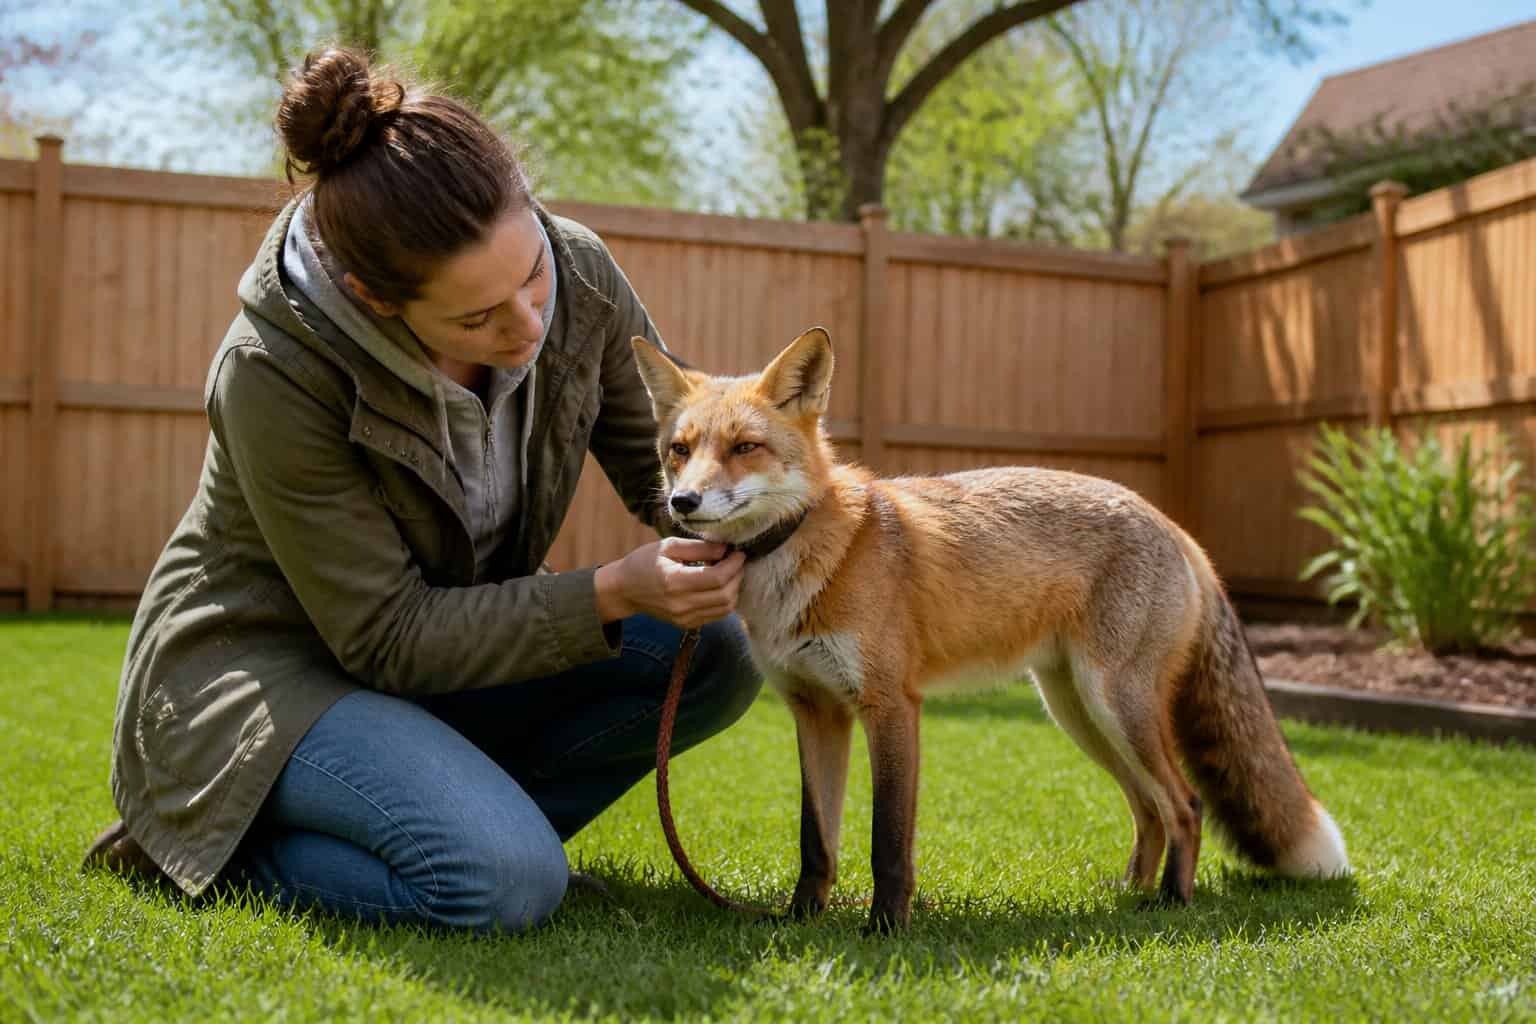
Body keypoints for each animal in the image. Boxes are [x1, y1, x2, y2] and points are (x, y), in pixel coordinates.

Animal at [630, 326, 1349, 933]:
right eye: (680, 451)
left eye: (744, 448)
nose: (682, 503)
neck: (808, 552)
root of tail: (1170, 522)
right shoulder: (815, 712)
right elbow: (817, 840)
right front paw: (801, 919)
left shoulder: (890, 706)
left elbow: (887, 840)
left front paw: (886, 929)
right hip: (1078, 712)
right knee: (1148, 809)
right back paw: (1131, 893)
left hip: (1115, 704)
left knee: (1185, 804)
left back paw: (1171, 904)